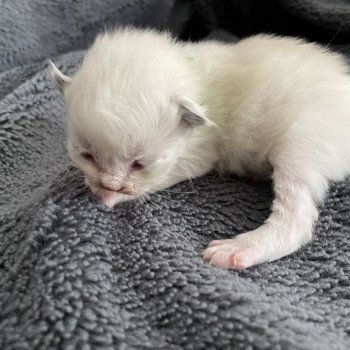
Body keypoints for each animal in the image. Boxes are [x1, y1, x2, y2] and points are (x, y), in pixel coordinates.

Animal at [50, 29, 350, 270]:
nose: (109, 184)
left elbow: (157, 180)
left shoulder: (200, 152)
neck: (193, 75)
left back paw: (238, 249)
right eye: (87, 155)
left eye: (139, 164)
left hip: (301, 142)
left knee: (296, 221)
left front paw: (110, 196)